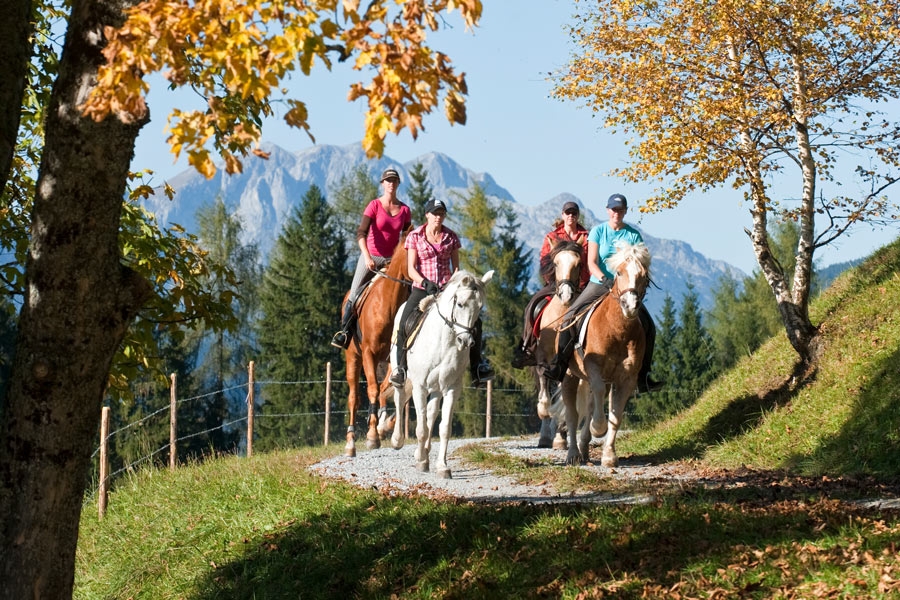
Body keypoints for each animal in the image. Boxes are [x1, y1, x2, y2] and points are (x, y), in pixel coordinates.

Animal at [342, 234, 410, 454]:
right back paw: (350, 441)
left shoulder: (393, 357)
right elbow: (372, 389)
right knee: (353, 397)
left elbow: (385, 388)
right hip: (353, 358)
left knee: (381, 389)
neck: (388, 306)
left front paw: (383, 425)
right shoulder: (368, 354)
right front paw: (372, 435)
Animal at [392, 270, 496, 480]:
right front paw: (421, 460)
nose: (465, 341)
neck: (443, 342)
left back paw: (424, 452)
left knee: (431, 414)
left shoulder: (451, 388)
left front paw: (442, 466)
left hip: (437, 388)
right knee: (399, 399)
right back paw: (398, 441)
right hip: (401, 374)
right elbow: (421, 429)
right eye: (460, 304)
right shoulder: (419, 387)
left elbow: (444, 428)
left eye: (480, 307)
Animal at [532, 239, 588, 450]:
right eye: (555, 264)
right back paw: (545, 436)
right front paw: (543, 410)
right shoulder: (542, 357)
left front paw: (560, 433)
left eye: (578, 264)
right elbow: (545, 392)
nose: (566, 294)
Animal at [552, 241, 652, 466]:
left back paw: (584, 449)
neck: (617, 330)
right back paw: (573, 454)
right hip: (570, 376)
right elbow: (596, 405)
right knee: (572, 414)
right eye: (620, 273)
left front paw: (609, 456)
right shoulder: (594, 369)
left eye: (644, 275)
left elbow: (616, 415)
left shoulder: (626, 378)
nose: (630, 306)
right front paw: (598, 428)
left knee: (589, 406)